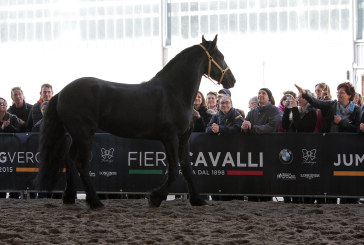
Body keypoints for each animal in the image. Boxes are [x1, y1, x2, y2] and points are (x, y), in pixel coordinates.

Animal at [36, 35, 236, 209]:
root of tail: (61, 93)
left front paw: (197, 200)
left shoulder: (183, 139)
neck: (174, 92)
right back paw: (95, 202)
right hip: (84, 134)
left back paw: (69, 196)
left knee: (69, 160)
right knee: (81, 165)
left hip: (78, 135)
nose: (232, 80)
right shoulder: (170, 138)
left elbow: (186, 168)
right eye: (220, 56)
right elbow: (173, 170)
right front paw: (155, 197)